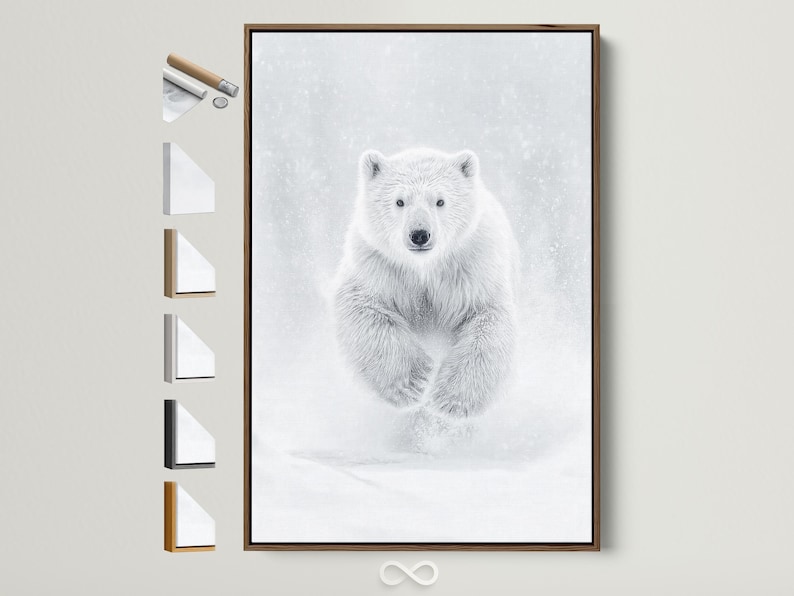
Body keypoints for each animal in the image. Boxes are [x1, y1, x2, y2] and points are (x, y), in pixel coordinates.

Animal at [333, 148, 519, 418]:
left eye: (440, 201)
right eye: (400, 201)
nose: (419, 234)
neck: (424, 268)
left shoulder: (472, 268)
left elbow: (488, 320)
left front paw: (451, 401)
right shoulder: (379, 265)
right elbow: (362, 308)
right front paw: (414, 382)